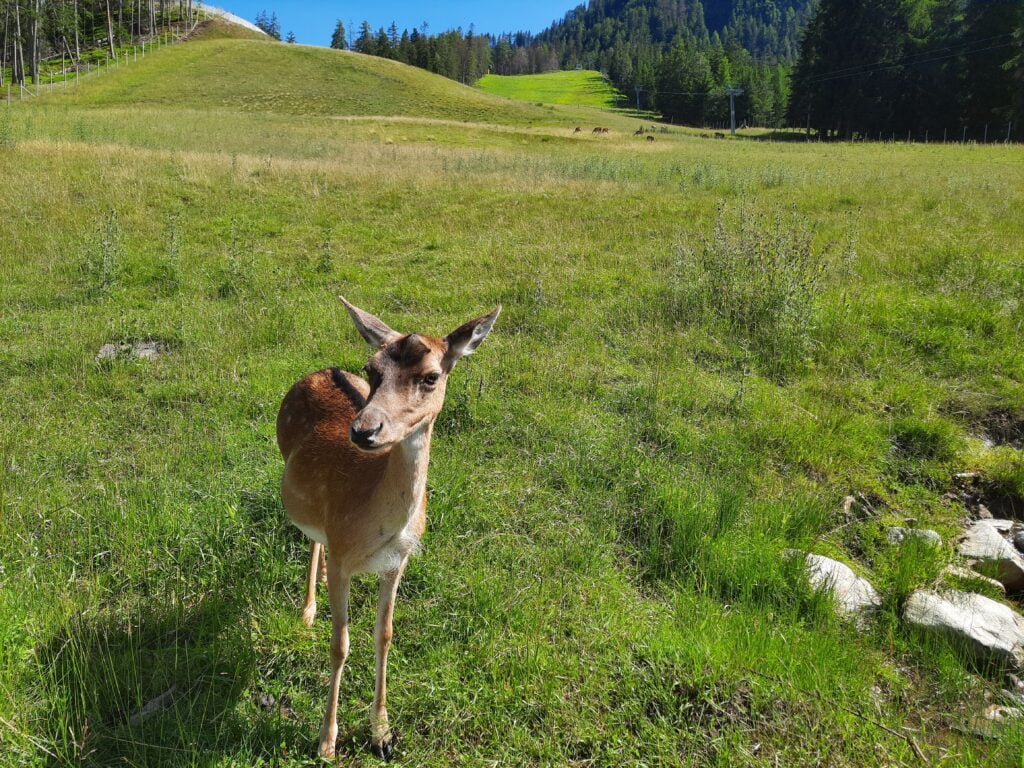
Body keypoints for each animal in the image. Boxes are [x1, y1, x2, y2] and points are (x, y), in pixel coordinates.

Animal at [276, 296, 499, 761]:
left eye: (432, 376)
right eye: (373, 368)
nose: (365, 430)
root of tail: (320, 370)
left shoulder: (398, 562)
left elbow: (385, 634)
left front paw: (381, 732)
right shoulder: (345, 553)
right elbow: (340, 644)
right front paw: (326, 742)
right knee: (312, 539)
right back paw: (308, 610)